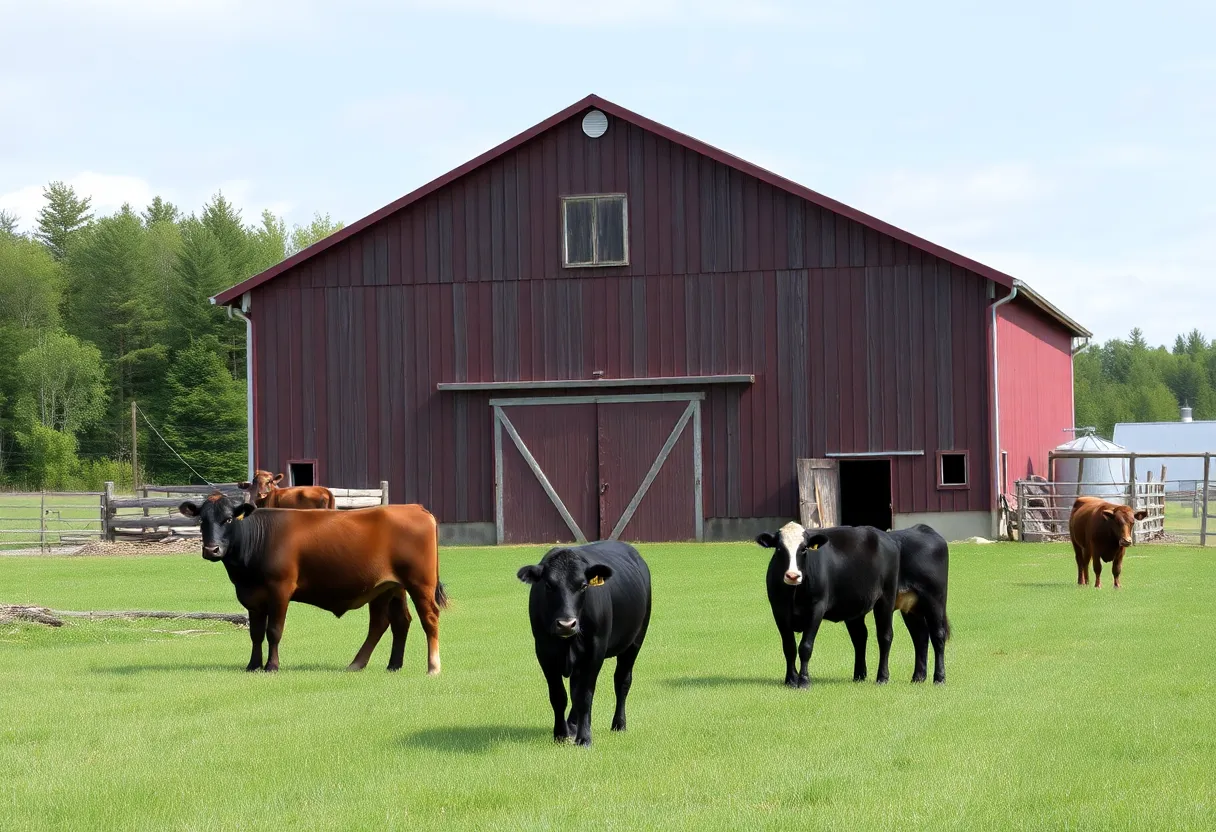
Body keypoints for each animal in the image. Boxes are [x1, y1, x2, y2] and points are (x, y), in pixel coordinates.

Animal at [178, 492, 447, 673]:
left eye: (228, 520)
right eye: (202, 520)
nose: (211, 549)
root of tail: (415, 508)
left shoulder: (280, 589)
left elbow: (273, 630)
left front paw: (271, 666)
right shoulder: (252, 596)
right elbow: (255, 633)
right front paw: (253, 665)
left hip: (420, 582)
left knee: (429, 618)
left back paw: (433, 666)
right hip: (388, 587)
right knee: (393, 622)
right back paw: (379, 664)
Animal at [517, 541, 652, 747]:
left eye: (583, 585)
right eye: (548, 585)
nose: (566, 624)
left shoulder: (595, 651)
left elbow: (585, 695)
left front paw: (585, 737)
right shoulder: (544, 651)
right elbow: (559, 695)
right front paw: (560, 734)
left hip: (635, 641)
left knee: (622, 680)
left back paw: (619, 724)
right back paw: (572, 725)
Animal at [756, 522, 900, 688]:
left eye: (804, 548)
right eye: (779, 548)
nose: (792, 575)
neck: (794, 593)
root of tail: (884, 536)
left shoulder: (816, 608)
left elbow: (805, 646)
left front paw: (804, 680)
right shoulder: (779, 609)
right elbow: (789, 646)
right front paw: (791, 679)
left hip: (886, 598)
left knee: (885, 636)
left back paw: (882, 677)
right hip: (853, 608)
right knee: (859, 637)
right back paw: (859, 675)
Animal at [887, 524, 952, 684]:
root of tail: (923, 528)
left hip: (935, 600)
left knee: (937, 635)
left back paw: (939, 678)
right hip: (911, 607)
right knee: (920, 635)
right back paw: (918, 676)